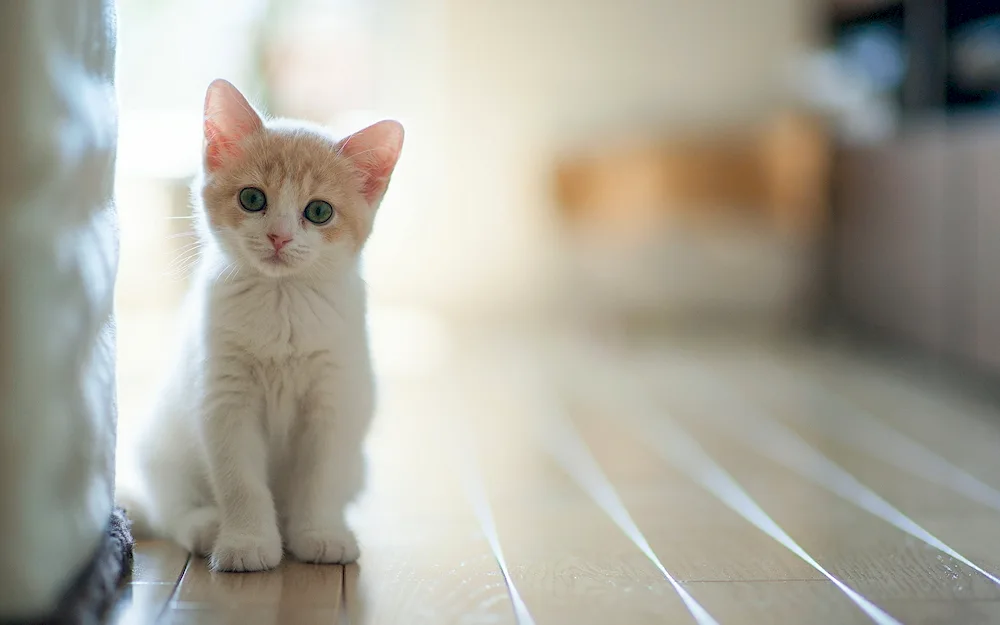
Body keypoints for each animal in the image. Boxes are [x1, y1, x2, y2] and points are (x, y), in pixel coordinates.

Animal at [118, 78, 398, 572]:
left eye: (319, 211)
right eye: (253, 199)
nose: (279, 236)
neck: (281, 303)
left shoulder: (335, 399)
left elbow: (321, 476)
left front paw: (320, 533)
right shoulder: (224, 400)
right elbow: (240, 481)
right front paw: (247, 542)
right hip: (163, 445)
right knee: (169, 510)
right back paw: (205, 526)